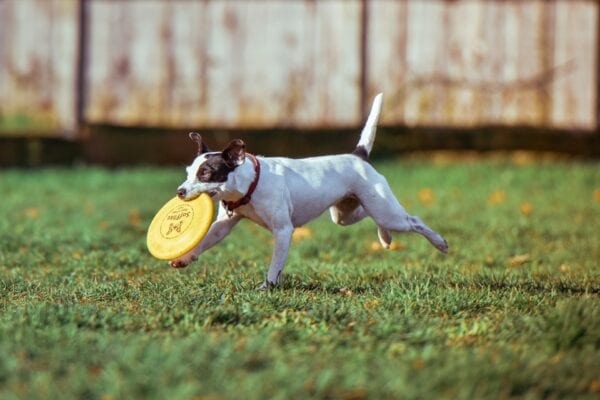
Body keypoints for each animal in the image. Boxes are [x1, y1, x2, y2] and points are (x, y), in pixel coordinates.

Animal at [171, 94, 448, 288]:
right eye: (188, 171)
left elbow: (275, 264)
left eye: (205, 173)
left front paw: (267, 286)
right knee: (368, 215)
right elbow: (205, 240)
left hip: (386, 211)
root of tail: (358, 156)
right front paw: (185, 258)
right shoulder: (223, 225)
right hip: (345, 214)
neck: (250, 184)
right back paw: (385, 237)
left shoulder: (283, 231)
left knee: (413, 221)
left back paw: (439, 242)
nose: (180, 191)